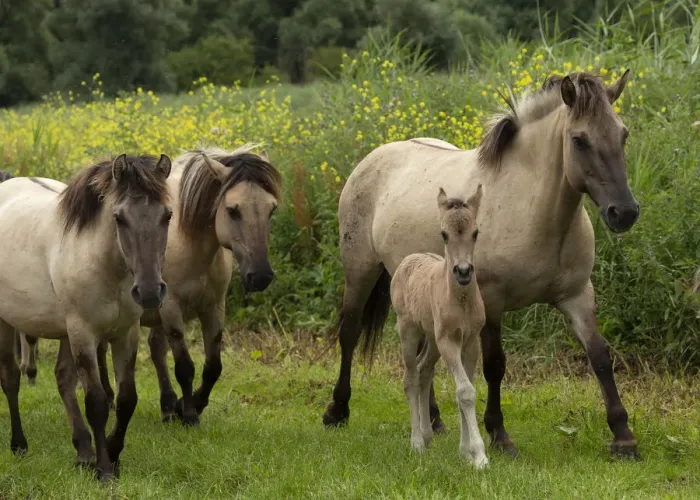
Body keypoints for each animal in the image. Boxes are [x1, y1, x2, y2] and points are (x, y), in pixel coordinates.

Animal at [0, 154, 172, 482]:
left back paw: (83, 451)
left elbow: (126, 399)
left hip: (64, 332)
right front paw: (105, 470)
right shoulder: (84, 333)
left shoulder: (125, 334)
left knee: (63, 380)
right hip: (7, 323)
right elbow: (96, 402)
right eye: (119, 218)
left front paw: (113, 454)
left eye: (168, 215)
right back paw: (19, 444)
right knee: (11, 378)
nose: (149, 292)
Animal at [95, 145, 283, 426]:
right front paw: (190, 415)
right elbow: (184, 366)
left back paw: (167, 405)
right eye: (233, 210)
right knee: (102, 349)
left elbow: (213, 366)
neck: (190, 244)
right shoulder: (171, 309)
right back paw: (108, 397)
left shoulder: (213, 307)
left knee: (156, 349)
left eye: (271, 210)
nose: (260, 276)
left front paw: (191, 404)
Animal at [391, 185, 488, 469]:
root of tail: (407, 260)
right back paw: (416, 442)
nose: (464, 271)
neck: (461, 299)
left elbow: (466, 390)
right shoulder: (449, 341)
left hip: (432, 340)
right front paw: (479, 455)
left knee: (424, 371)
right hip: (409, 330)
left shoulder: (471, 341)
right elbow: (464, 391)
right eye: (444, 234)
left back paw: (426, 435)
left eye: (475, 232)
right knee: (411, 378)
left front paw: (465, 452)